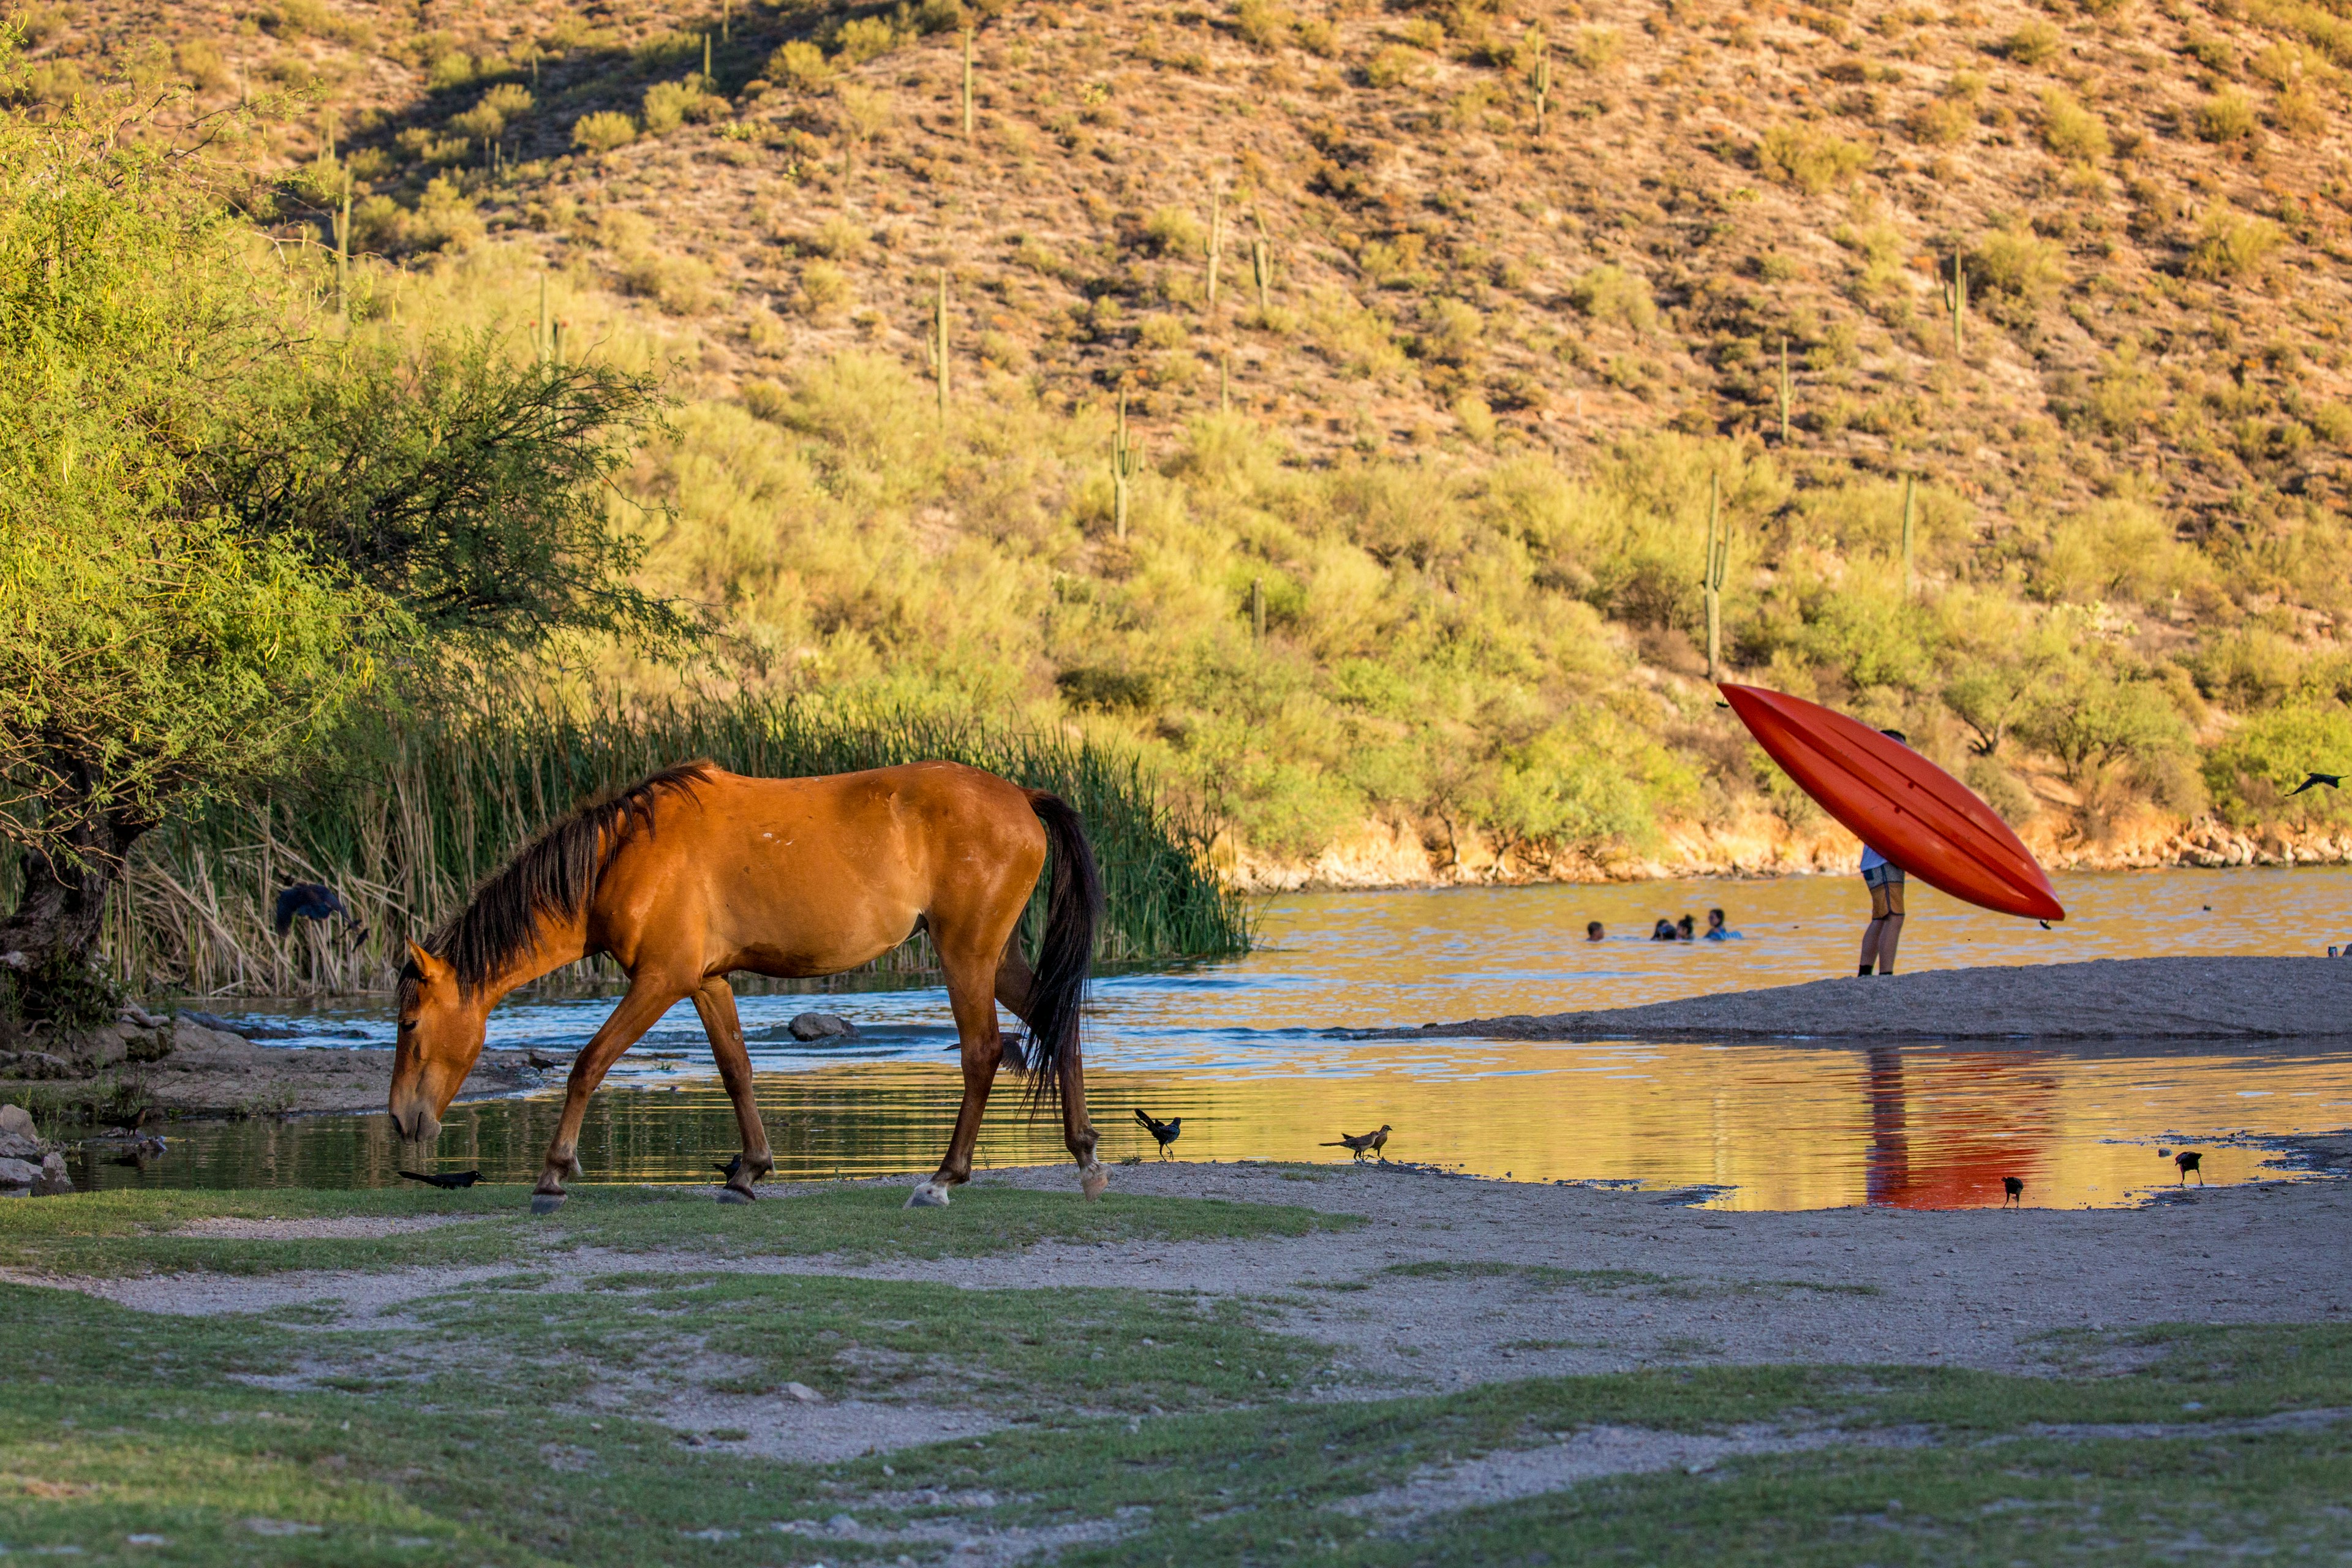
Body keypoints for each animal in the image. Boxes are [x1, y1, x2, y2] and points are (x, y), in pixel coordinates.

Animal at [388, 761, 1110, 1213]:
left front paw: (552, 1176)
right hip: (995, 957)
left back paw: (941, 1180)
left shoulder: (660, 979)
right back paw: (1085, 1159)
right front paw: (749, 1171)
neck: (623, 856)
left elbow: (588, 1064)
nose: (400, 1119)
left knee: (984, 1052)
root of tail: (1021, 797)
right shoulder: (706, 981)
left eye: (409, 1023)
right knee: (1059, 1027)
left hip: (966, 955)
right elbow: (736, 1069)